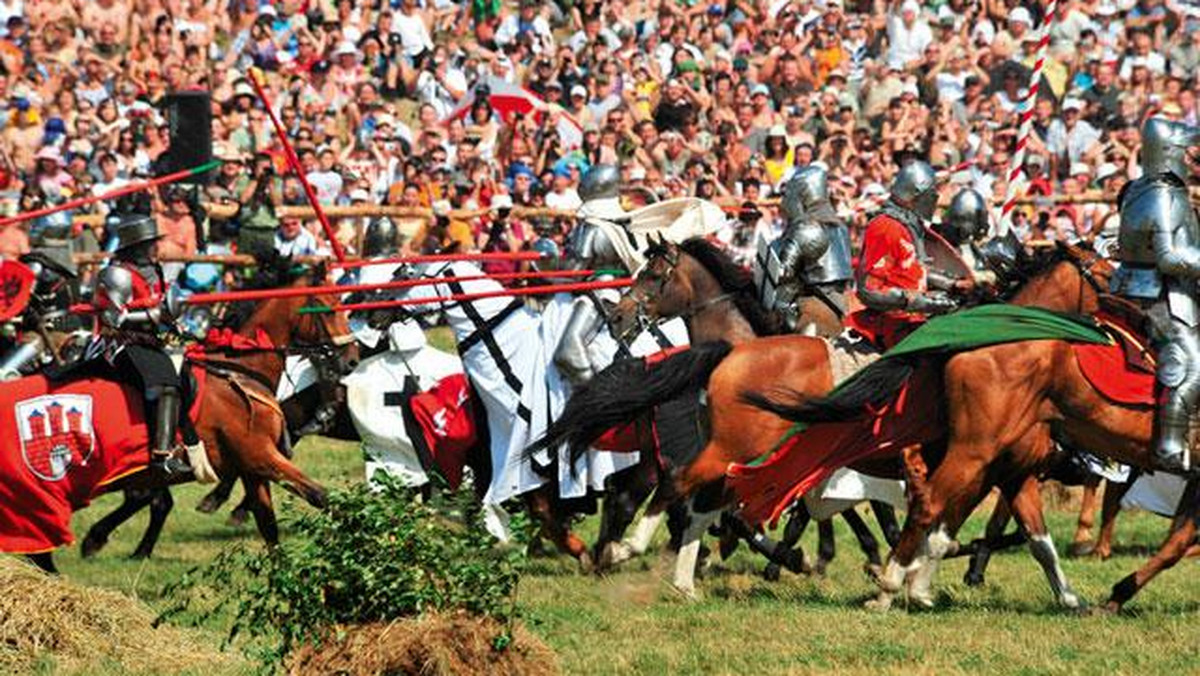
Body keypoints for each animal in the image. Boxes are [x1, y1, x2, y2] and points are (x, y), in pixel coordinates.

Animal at [27, 270, 355, 571]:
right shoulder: (260, 457)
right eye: (328, 309)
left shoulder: (253, 470)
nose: (351, 358)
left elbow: (269, 525)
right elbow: (320, 496)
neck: (243, 370)